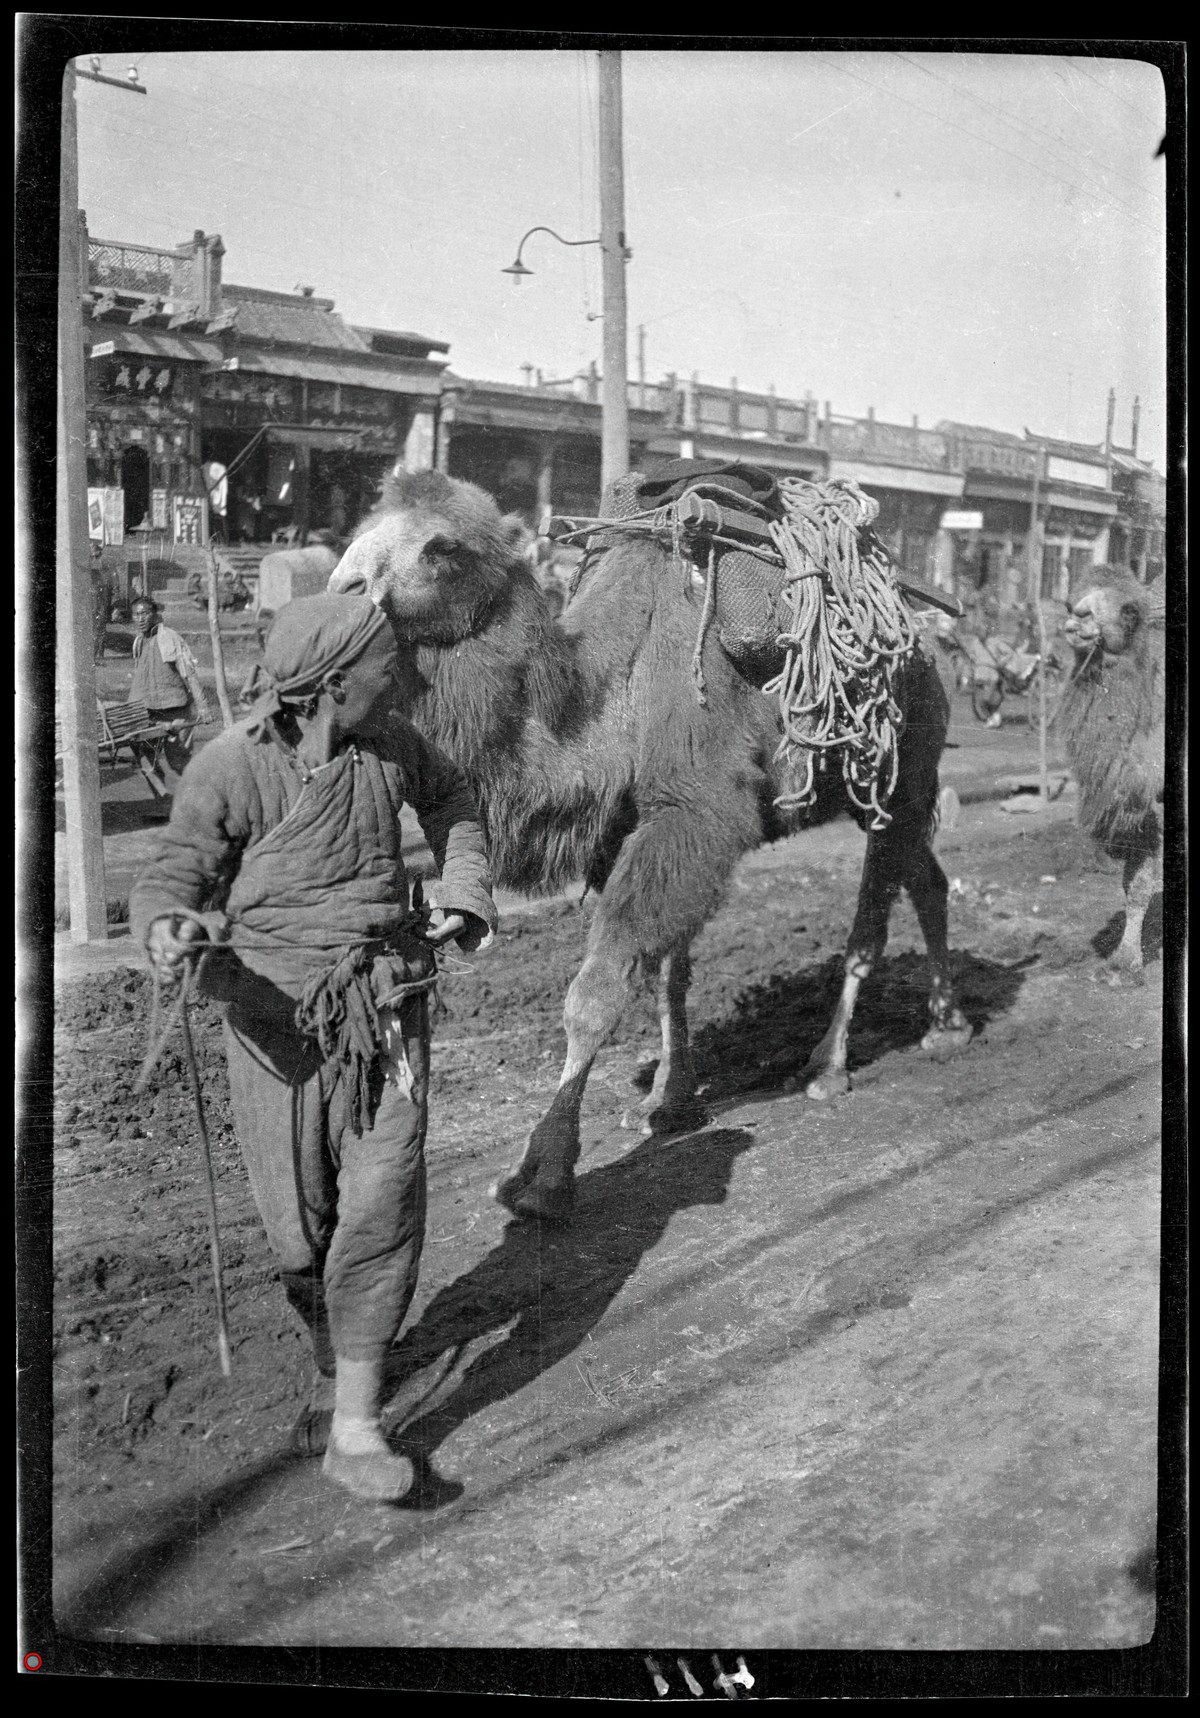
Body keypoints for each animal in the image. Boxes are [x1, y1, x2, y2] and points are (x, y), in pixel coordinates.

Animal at [330, 470, 969, 1223]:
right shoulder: (622, 830)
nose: (342, 585)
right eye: (363, 525)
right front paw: (666, 1101)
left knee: (871, 919)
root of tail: (924, 643)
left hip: (902, 776)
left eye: (443, 546)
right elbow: (670, 973)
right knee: (928, 880)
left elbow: (597, 991)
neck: (607, 699)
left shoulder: (690, 812)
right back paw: (947, 1024)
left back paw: (829, 1066)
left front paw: (542, 1176)